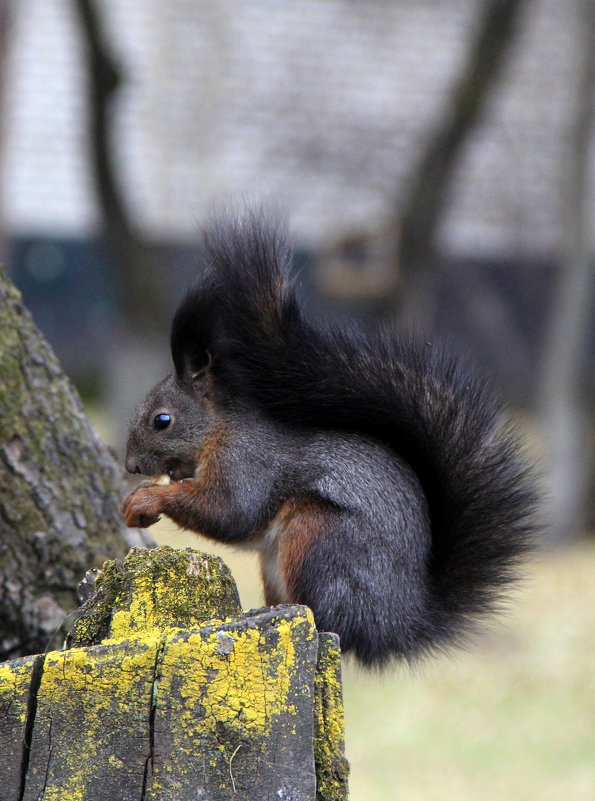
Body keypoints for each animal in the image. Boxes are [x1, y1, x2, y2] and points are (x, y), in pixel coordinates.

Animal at [121, 209, 536, 664]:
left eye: (162, 420)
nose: (131, 466)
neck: (219, 429)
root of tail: (395, 622)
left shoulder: (247, 461)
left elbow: (230, 511)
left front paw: (148, 498)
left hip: (319, 538)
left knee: (329, 616)